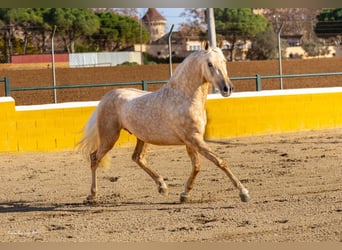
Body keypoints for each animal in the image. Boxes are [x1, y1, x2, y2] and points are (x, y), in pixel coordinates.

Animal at [79, 43, 251, 203]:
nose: (227, 88)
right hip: (109, 137)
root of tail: (106, 97)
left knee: (137, 158)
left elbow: (196, 166)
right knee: (94, 158)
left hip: (142, 137)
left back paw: (162, 186)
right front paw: (244, 193)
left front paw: (184, 195)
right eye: (209, 63)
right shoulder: (194, 139)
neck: (184, 98)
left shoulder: (191, 141)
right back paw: (92, 195)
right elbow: (219, 161)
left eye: (224, 61)